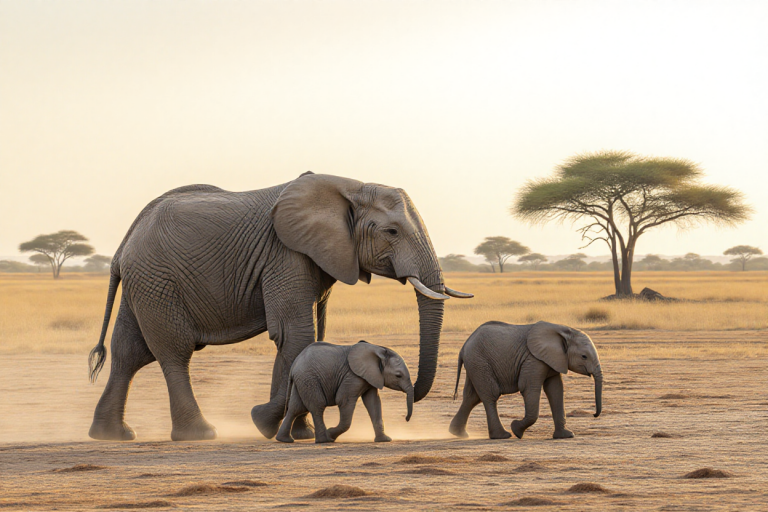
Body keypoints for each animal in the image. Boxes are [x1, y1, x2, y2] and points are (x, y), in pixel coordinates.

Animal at [276, 341, 413, 443]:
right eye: (398, 375)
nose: (406, 419)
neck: (377, 349)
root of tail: (294, 364)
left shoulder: (370, 377)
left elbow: (373, 403)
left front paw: (385, 440)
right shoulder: (352, 376)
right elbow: (344, 400)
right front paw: (331, 433)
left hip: (302, 381)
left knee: (295, 408)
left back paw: (284, 440)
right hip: (309, 379)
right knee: (317, 406)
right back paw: (325, 440)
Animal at [448, 321, 602, 440]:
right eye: (584, 356)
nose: (594, 415)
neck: (563, 330)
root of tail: (464, 346)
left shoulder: (553, 360)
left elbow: (556, 390)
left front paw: (566, 436)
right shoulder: (533, 360)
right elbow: (529, 388)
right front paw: (516, 429)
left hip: (475, 364)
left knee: (472, 397)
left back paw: (458, 434)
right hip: (480, 362)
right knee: (490, 395)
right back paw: (502, 436)